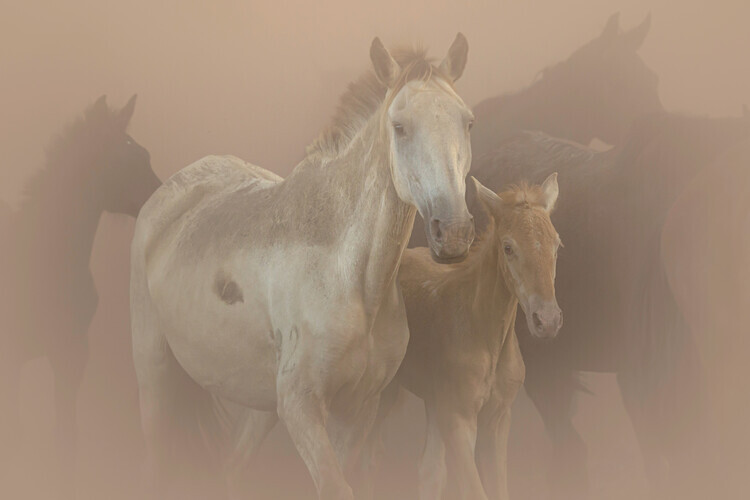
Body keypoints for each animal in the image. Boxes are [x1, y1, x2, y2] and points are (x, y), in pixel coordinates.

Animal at [0, 95, 160, 499]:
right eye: (124, 161)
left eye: (146, 155)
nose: (161, 197)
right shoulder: (11, 357)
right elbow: (15, 435)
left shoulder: (71, 354)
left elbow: (66, 438)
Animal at [130, 35, 475, 499]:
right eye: (400, 127)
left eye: (467, 123)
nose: (452, 232)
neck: (352, 281)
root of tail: (171, 194)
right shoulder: (301, 408)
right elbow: (335, 486)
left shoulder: (358, 409)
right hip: (153, 373)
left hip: (261, 404)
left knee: (231, 467)